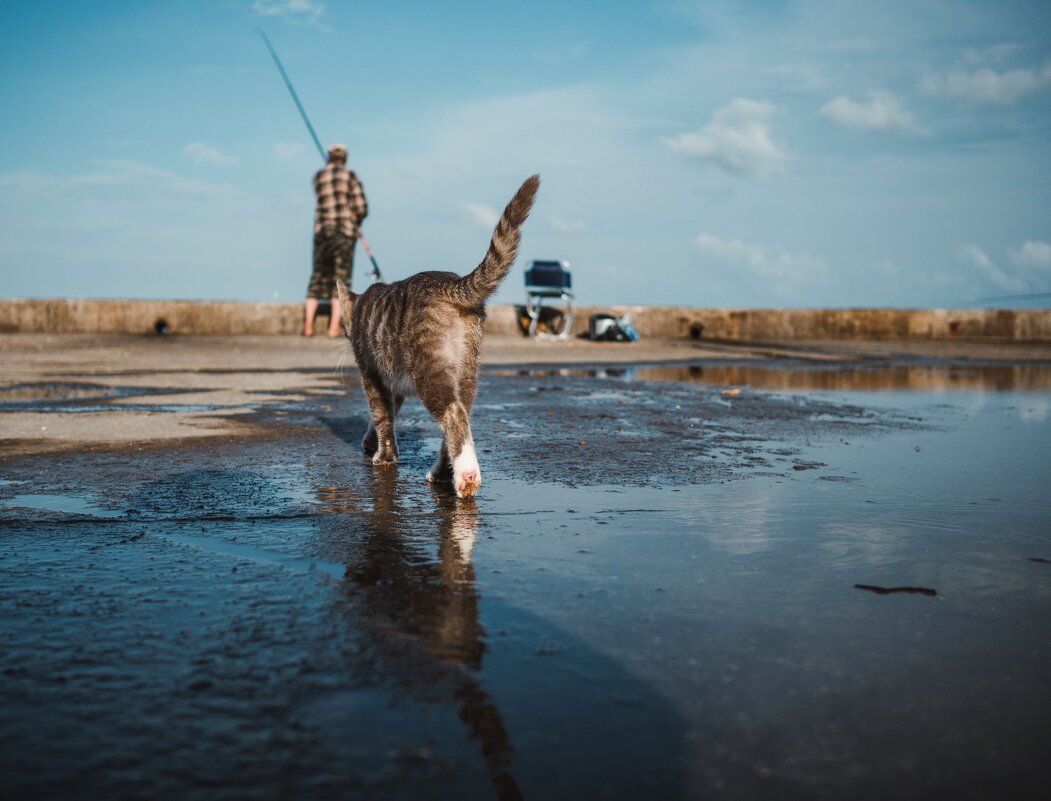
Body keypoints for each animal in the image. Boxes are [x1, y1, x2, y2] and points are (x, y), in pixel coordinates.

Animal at [338, 176, 542, 500]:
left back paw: (466, 476)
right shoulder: (394, 385)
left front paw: (384, 456)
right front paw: (372, 442)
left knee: (453, 413)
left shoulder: (371, 371)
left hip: (428, 365)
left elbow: (381, 414)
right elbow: (387, 414)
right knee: (463, 413)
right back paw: (442, 473)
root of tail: (451, 284)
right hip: (466, 365)